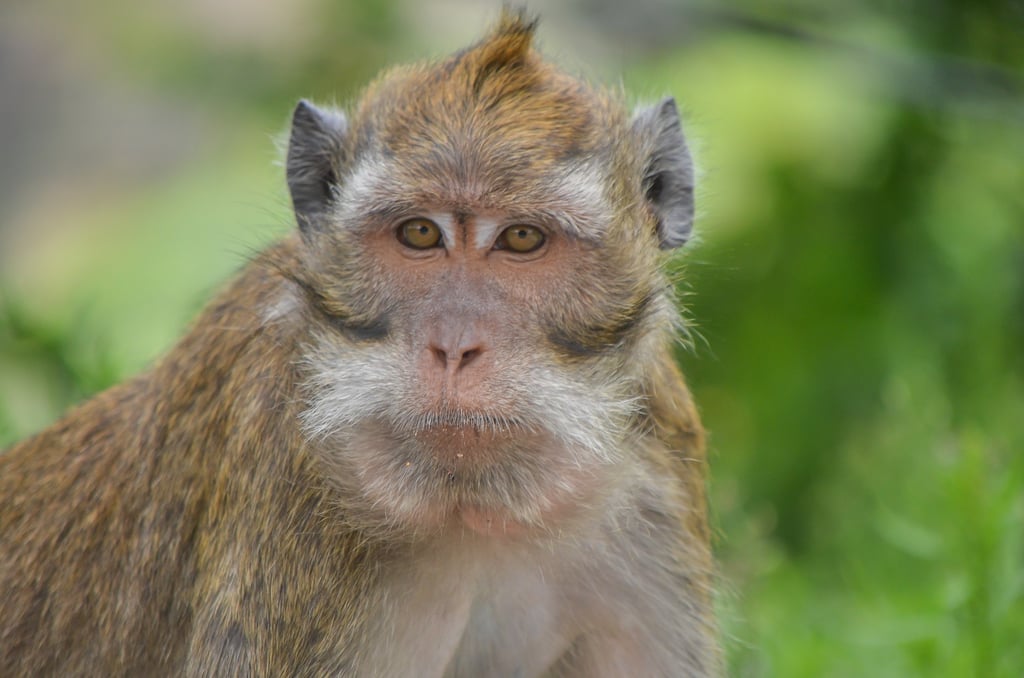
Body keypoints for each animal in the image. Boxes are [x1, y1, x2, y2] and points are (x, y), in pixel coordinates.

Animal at [0, 10, 720, 677]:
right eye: (421, 233)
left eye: (521, 239)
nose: (454, 346)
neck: (475, 514)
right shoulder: (285, 466)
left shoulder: (657, 473)